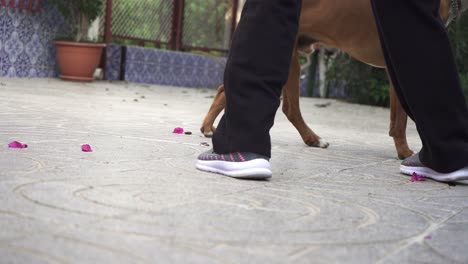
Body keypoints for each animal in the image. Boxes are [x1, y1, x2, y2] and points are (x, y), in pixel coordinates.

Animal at [201, 0, 460, 159]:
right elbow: (402, 119)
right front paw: (405, 152)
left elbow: (399, 117)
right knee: (289, 108)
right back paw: (314, 139)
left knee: (226, 89)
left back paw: (208, 128)